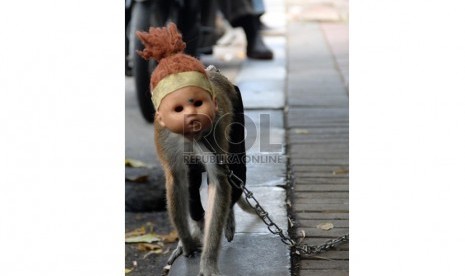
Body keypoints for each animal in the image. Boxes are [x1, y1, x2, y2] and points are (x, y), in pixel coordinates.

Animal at [136, 23, 256, 276]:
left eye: (198, 103)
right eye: (179, 108)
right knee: (191, 182)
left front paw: (208, 261)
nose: (193, 118)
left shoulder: (212, 134)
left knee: (235, 175)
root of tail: (215, 72)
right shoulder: (165, 138)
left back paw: (228, 219)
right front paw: (188, 243)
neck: (190, 139)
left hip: (237, 115)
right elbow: (177, 180)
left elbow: (219, 183)